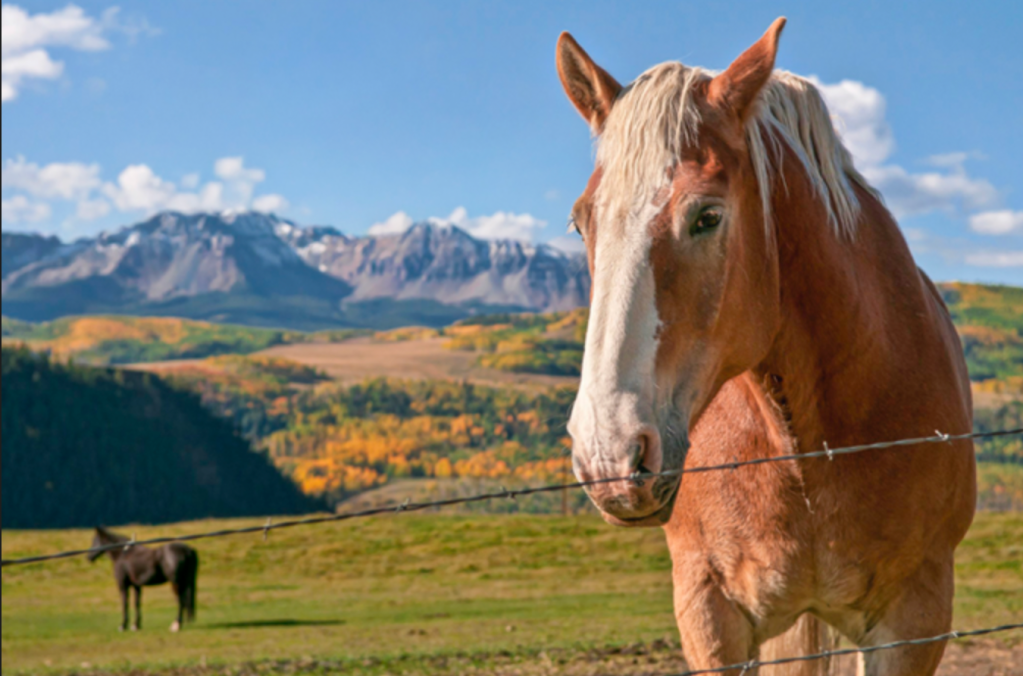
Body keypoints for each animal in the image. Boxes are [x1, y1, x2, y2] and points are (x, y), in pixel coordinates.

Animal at [556, 17, 974, 676]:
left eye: (706, 216)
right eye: (581, 223)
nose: (610, 456)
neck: (808, 448)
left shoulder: (916, 618)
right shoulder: (708, 610)